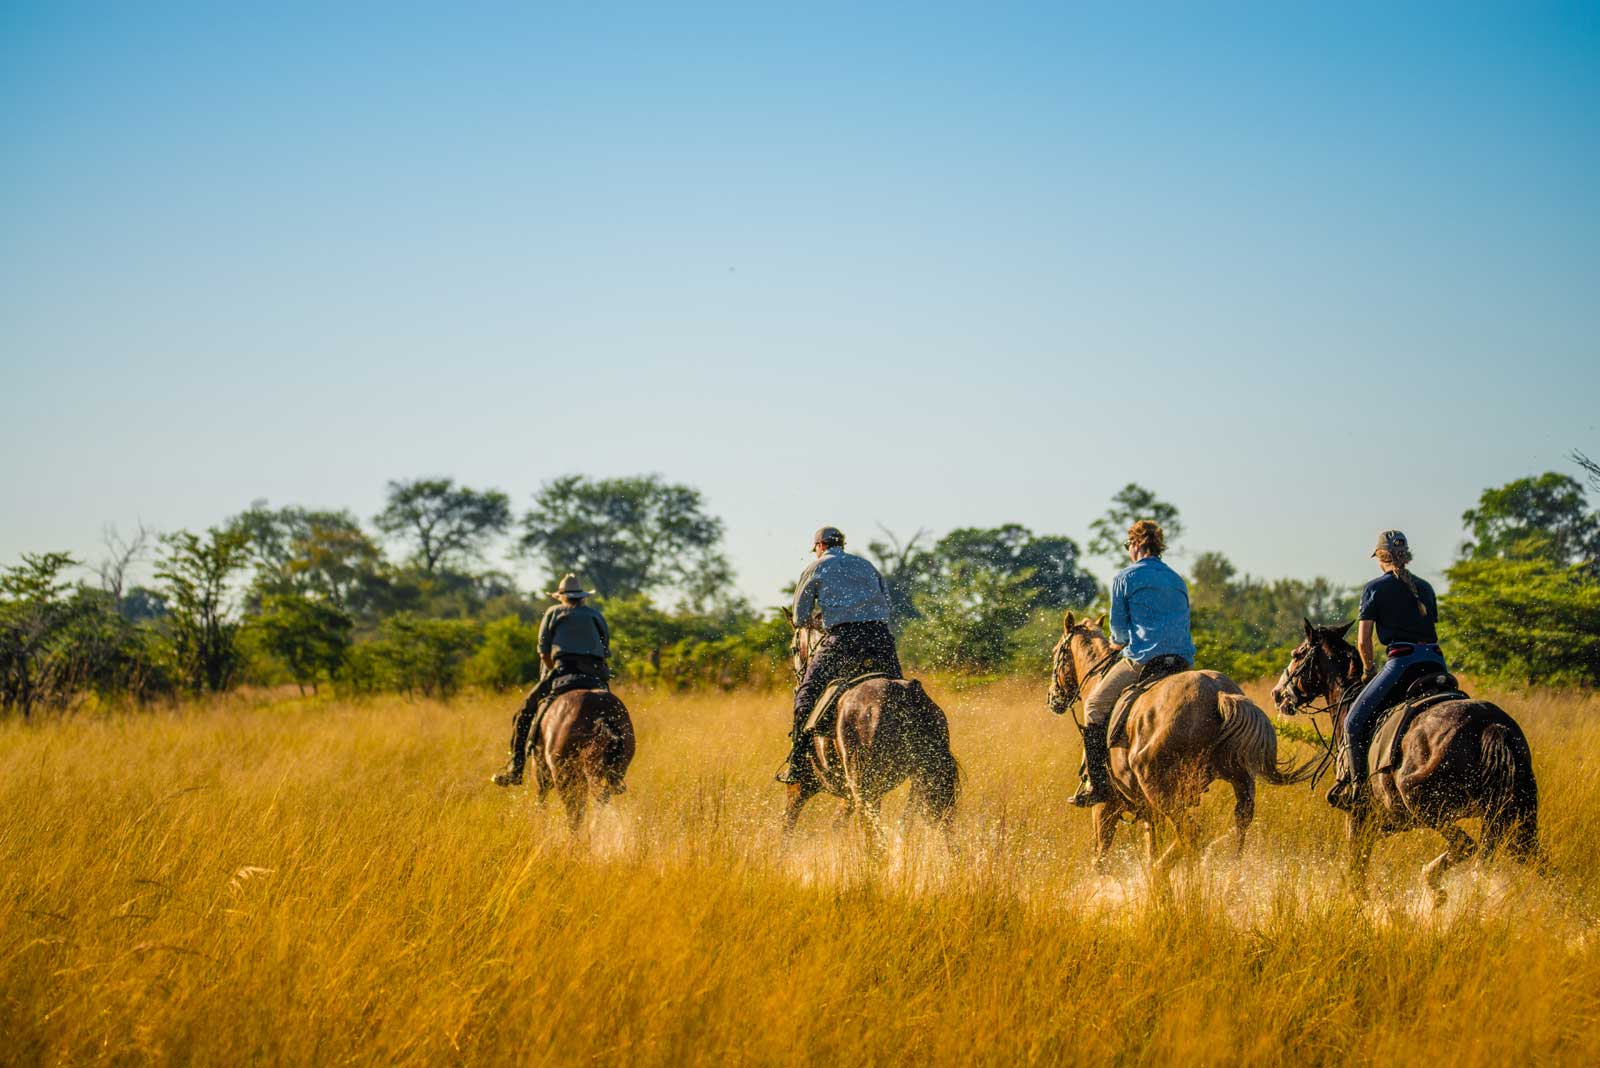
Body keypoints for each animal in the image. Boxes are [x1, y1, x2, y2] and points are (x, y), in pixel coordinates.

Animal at [783, 619, 961, 858]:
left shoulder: (800, 787)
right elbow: (836, 825)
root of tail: (907, 693)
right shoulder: (848, 797)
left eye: (793, 648)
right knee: (943, 830)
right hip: (926, 779)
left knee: (875, 838)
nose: (797, 677)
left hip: (867, 786)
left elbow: (787, 827)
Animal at [1048, 612, 1316, 892]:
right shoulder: (1148, 811)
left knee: (1191, 834)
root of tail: (1218, 693)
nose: (1053, 698)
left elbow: (1100, 861)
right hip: (1237, 780)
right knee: (1237, 825)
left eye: (1056, 652)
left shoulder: (1106, 804)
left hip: (1161, 789)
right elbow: (1149, 846)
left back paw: (1162, 874)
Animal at [1271, 619, 1542, 905]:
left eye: (1297, 654)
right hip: (1518, 817)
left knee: (1465, 845)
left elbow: (1357, 870)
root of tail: (1491, 724)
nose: (1277, 694)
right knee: (1535, 860)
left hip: (1427, 805)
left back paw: (1436, 886)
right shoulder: (1384, 822)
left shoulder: (1358, 817)